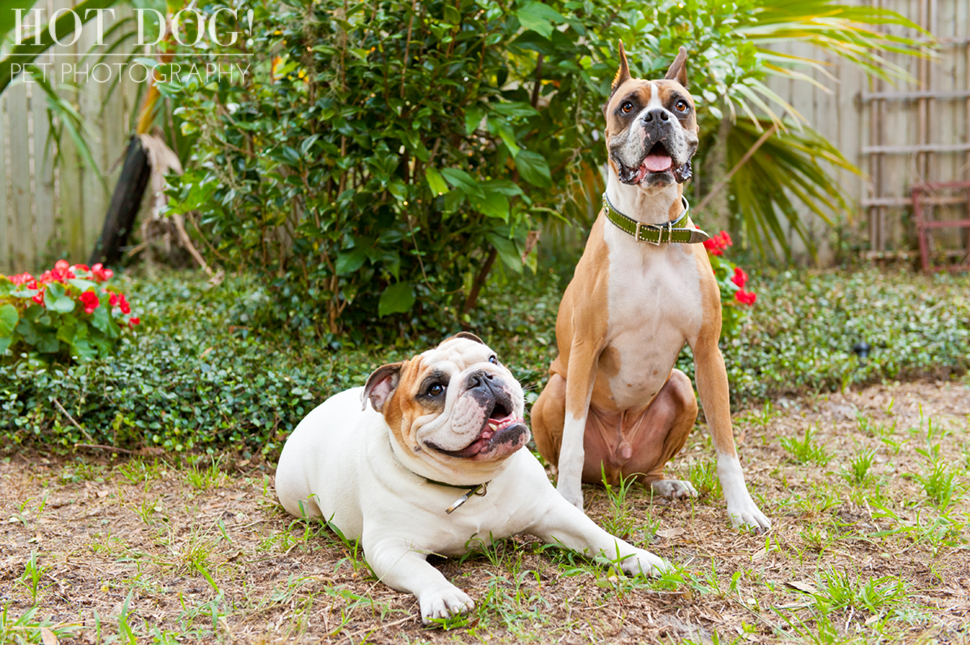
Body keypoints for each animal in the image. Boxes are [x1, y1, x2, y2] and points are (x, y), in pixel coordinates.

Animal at [524, 42, 768, 532]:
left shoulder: (708, 353)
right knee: (565, 454)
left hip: (682, 387)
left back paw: (664, 483)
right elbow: (573, 440)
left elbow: (726, 442)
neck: (651, 231)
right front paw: (569, 502)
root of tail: (615, 470)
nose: (657, 117)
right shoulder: (585, 348)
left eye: (681, 105)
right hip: (553, 390)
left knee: (647, 469)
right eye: (628, 106)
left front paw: (742, 507)